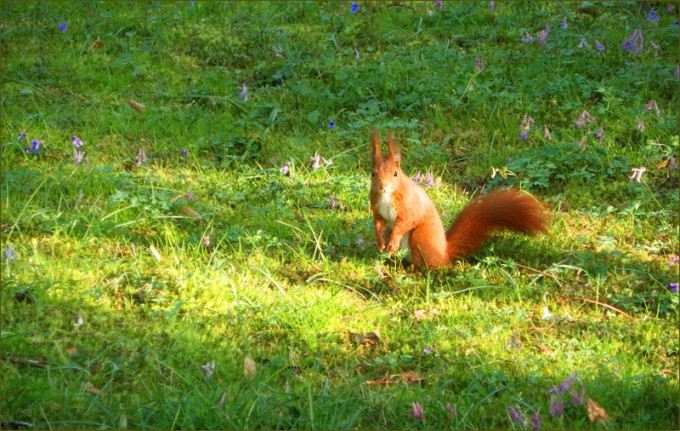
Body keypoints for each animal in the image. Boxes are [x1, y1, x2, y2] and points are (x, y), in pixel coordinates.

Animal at [369, 129, 549, 270]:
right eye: (373, 173)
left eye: (395, 173)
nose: (383, 186)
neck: (388, 195)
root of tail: (444, 252)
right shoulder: (377, 208)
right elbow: (378, 222)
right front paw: (379, 241)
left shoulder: (410, 204)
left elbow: (406, 221)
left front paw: (394, 240)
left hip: (421, 237)